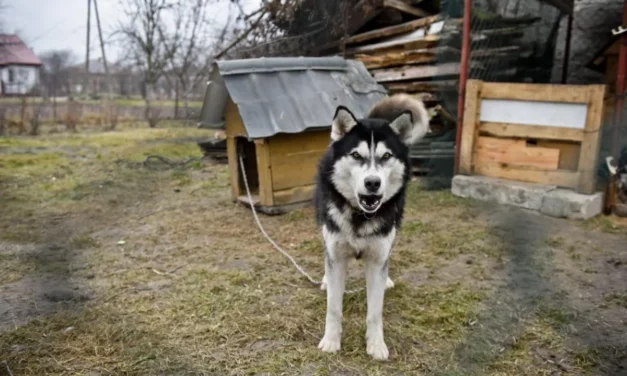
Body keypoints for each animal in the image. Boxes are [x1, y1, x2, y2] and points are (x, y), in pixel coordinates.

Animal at [314, 94, 432, 362]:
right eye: (356, 155)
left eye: (386, 156)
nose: (372, 183)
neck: (361, 215)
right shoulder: (336, 255)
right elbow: (333, 307)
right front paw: (331, 341)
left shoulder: (377, 258)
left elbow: (375, 311)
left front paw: (376, 345)